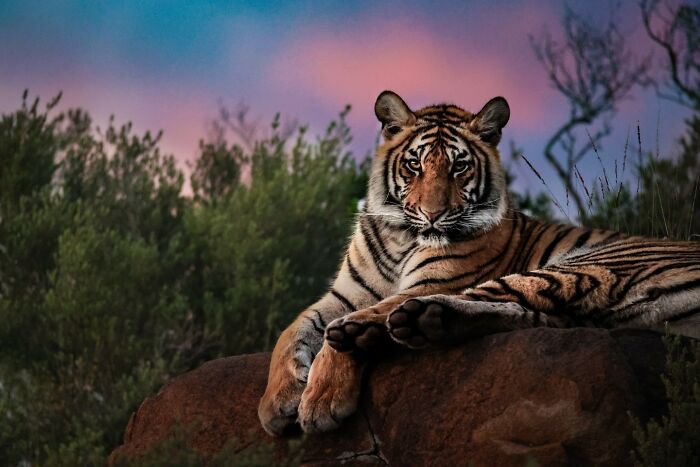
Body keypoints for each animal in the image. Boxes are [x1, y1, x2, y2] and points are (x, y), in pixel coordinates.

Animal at [258, 90, 700, 436]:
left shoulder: (433, 281)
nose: (432, 214)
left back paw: (373, 330)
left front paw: (320, 402)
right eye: (415, 164)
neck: (402, 237)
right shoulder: (345, 294)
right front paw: (275, 406)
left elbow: (342, 328)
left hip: (591, 263)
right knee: (535, 316)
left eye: (459, 166)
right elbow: (290, 330)